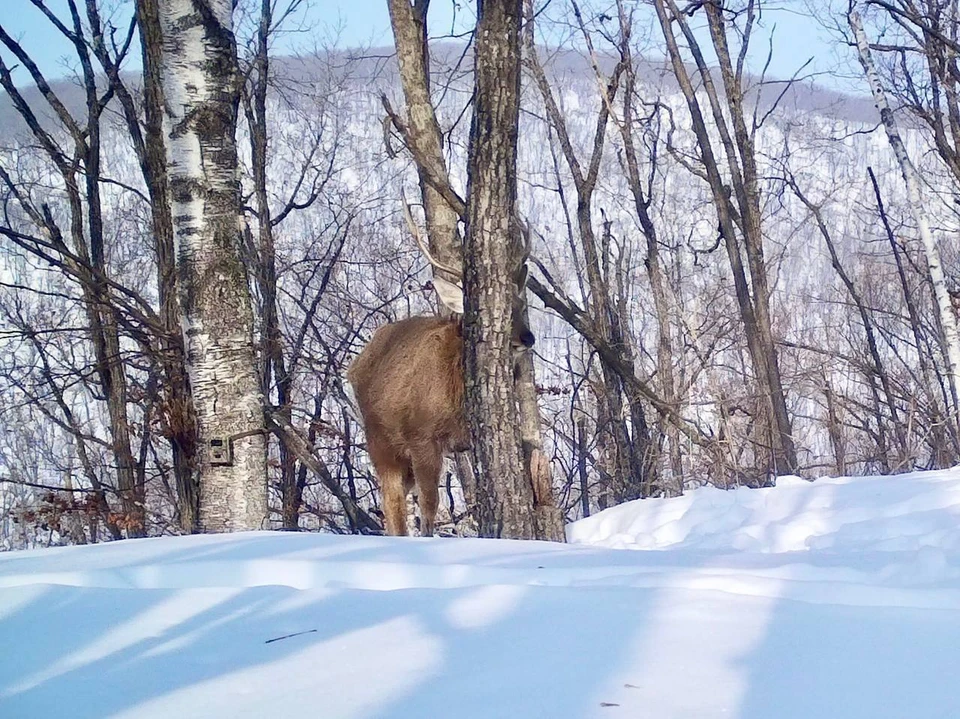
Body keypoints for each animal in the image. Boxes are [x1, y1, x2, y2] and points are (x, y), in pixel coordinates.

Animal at [346, 211, 540, 536]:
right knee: (392, 502)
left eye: (520, 301)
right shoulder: (421, 434)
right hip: (380, 439)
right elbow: (429, 503)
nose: (527, 338)